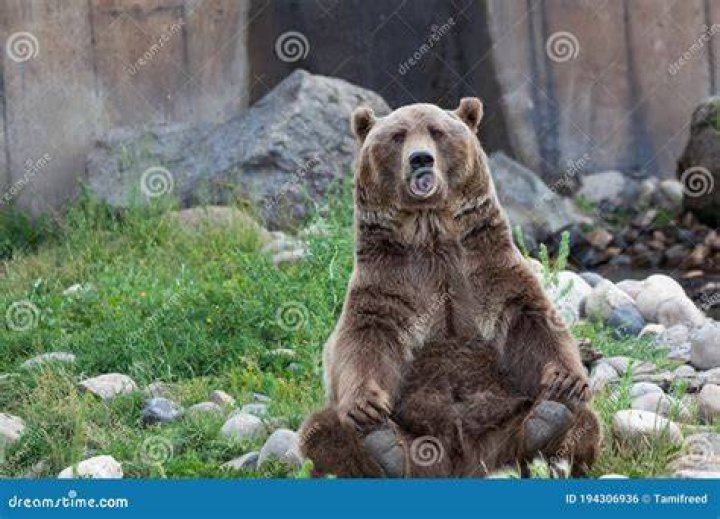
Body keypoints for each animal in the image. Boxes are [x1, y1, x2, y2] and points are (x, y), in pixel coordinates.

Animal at [298, 98, 601, 477]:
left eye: (437, 131)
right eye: (398, 135)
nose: (420, 159)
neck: (431, 232)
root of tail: (464, 460)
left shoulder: (488, 269)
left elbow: (532, 320)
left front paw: (566, 381)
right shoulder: (388, 283)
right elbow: (364, 338)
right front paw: (364, 407)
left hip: (500, 427)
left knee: (584, 422)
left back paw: (548, 418)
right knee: (321, 431)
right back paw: (384, 447)